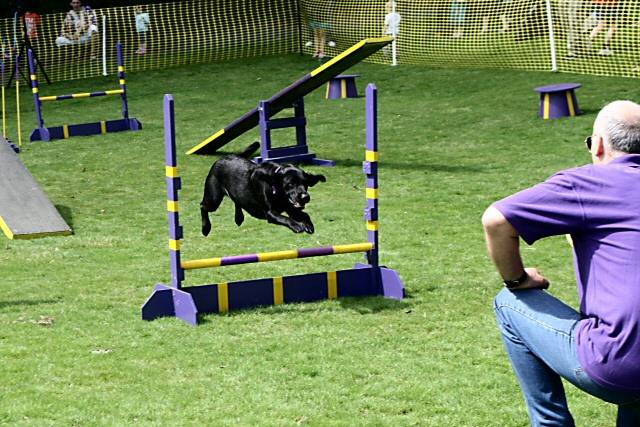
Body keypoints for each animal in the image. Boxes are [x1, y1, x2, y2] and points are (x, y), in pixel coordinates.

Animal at [200, 144, 328, 237]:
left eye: (305, 184)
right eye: (290, 184)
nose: (305, 197)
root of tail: (224, 157)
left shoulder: (291, 209)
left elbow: (305, 214)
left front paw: (309, 225)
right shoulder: (270, 213)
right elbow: (284, 218)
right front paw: (297, 226)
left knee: (236, 200)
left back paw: (239, 218)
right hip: (213, 199)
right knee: (202, 206)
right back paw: (205, 228)